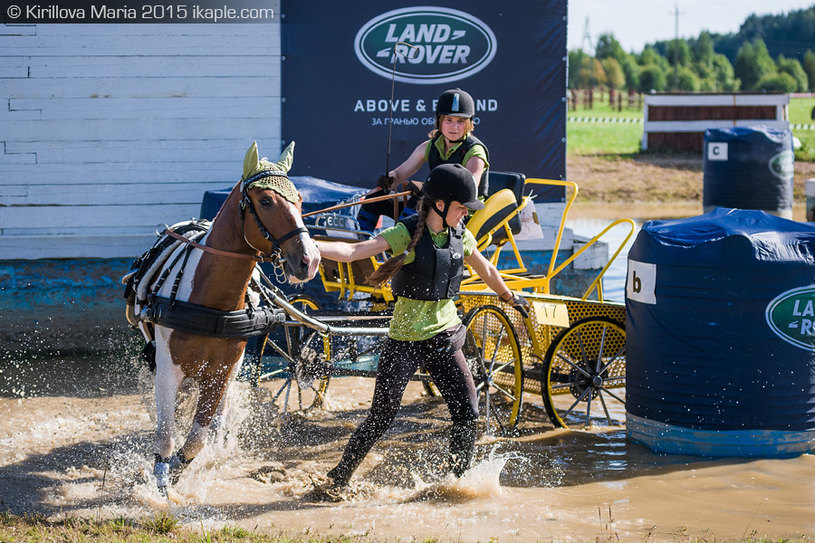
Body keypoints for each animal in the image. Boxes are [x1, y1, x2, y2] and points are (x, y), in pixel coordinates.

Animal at [126, 142, 320, 496]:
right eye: (266, 200)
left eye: (300, 199)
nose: (309, 260)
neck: (211, 303)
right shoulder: (167, 369)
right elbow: (166, 433)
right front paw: (162, 479)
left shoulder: (221, 371)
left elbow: (198, 436)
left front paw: (180, 467)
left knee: (216, 418)